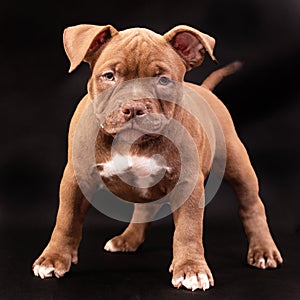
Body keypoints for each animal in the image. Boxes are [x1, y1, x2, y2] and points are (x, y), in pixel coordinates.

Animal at [33, 24, 284, 292]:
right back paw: (128, 239)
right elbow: (66, 220)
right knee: (145, 208)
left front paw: (191, 269)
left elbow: (188, 229)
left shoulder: (188, 184)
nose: (134, 107)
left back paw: (263, 251)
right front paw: (54, 258)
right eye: (109, 76)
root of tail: (205, 90)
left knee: (251, 204)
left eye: (163, 80)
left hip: (237, 164)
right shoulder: (76, 178)